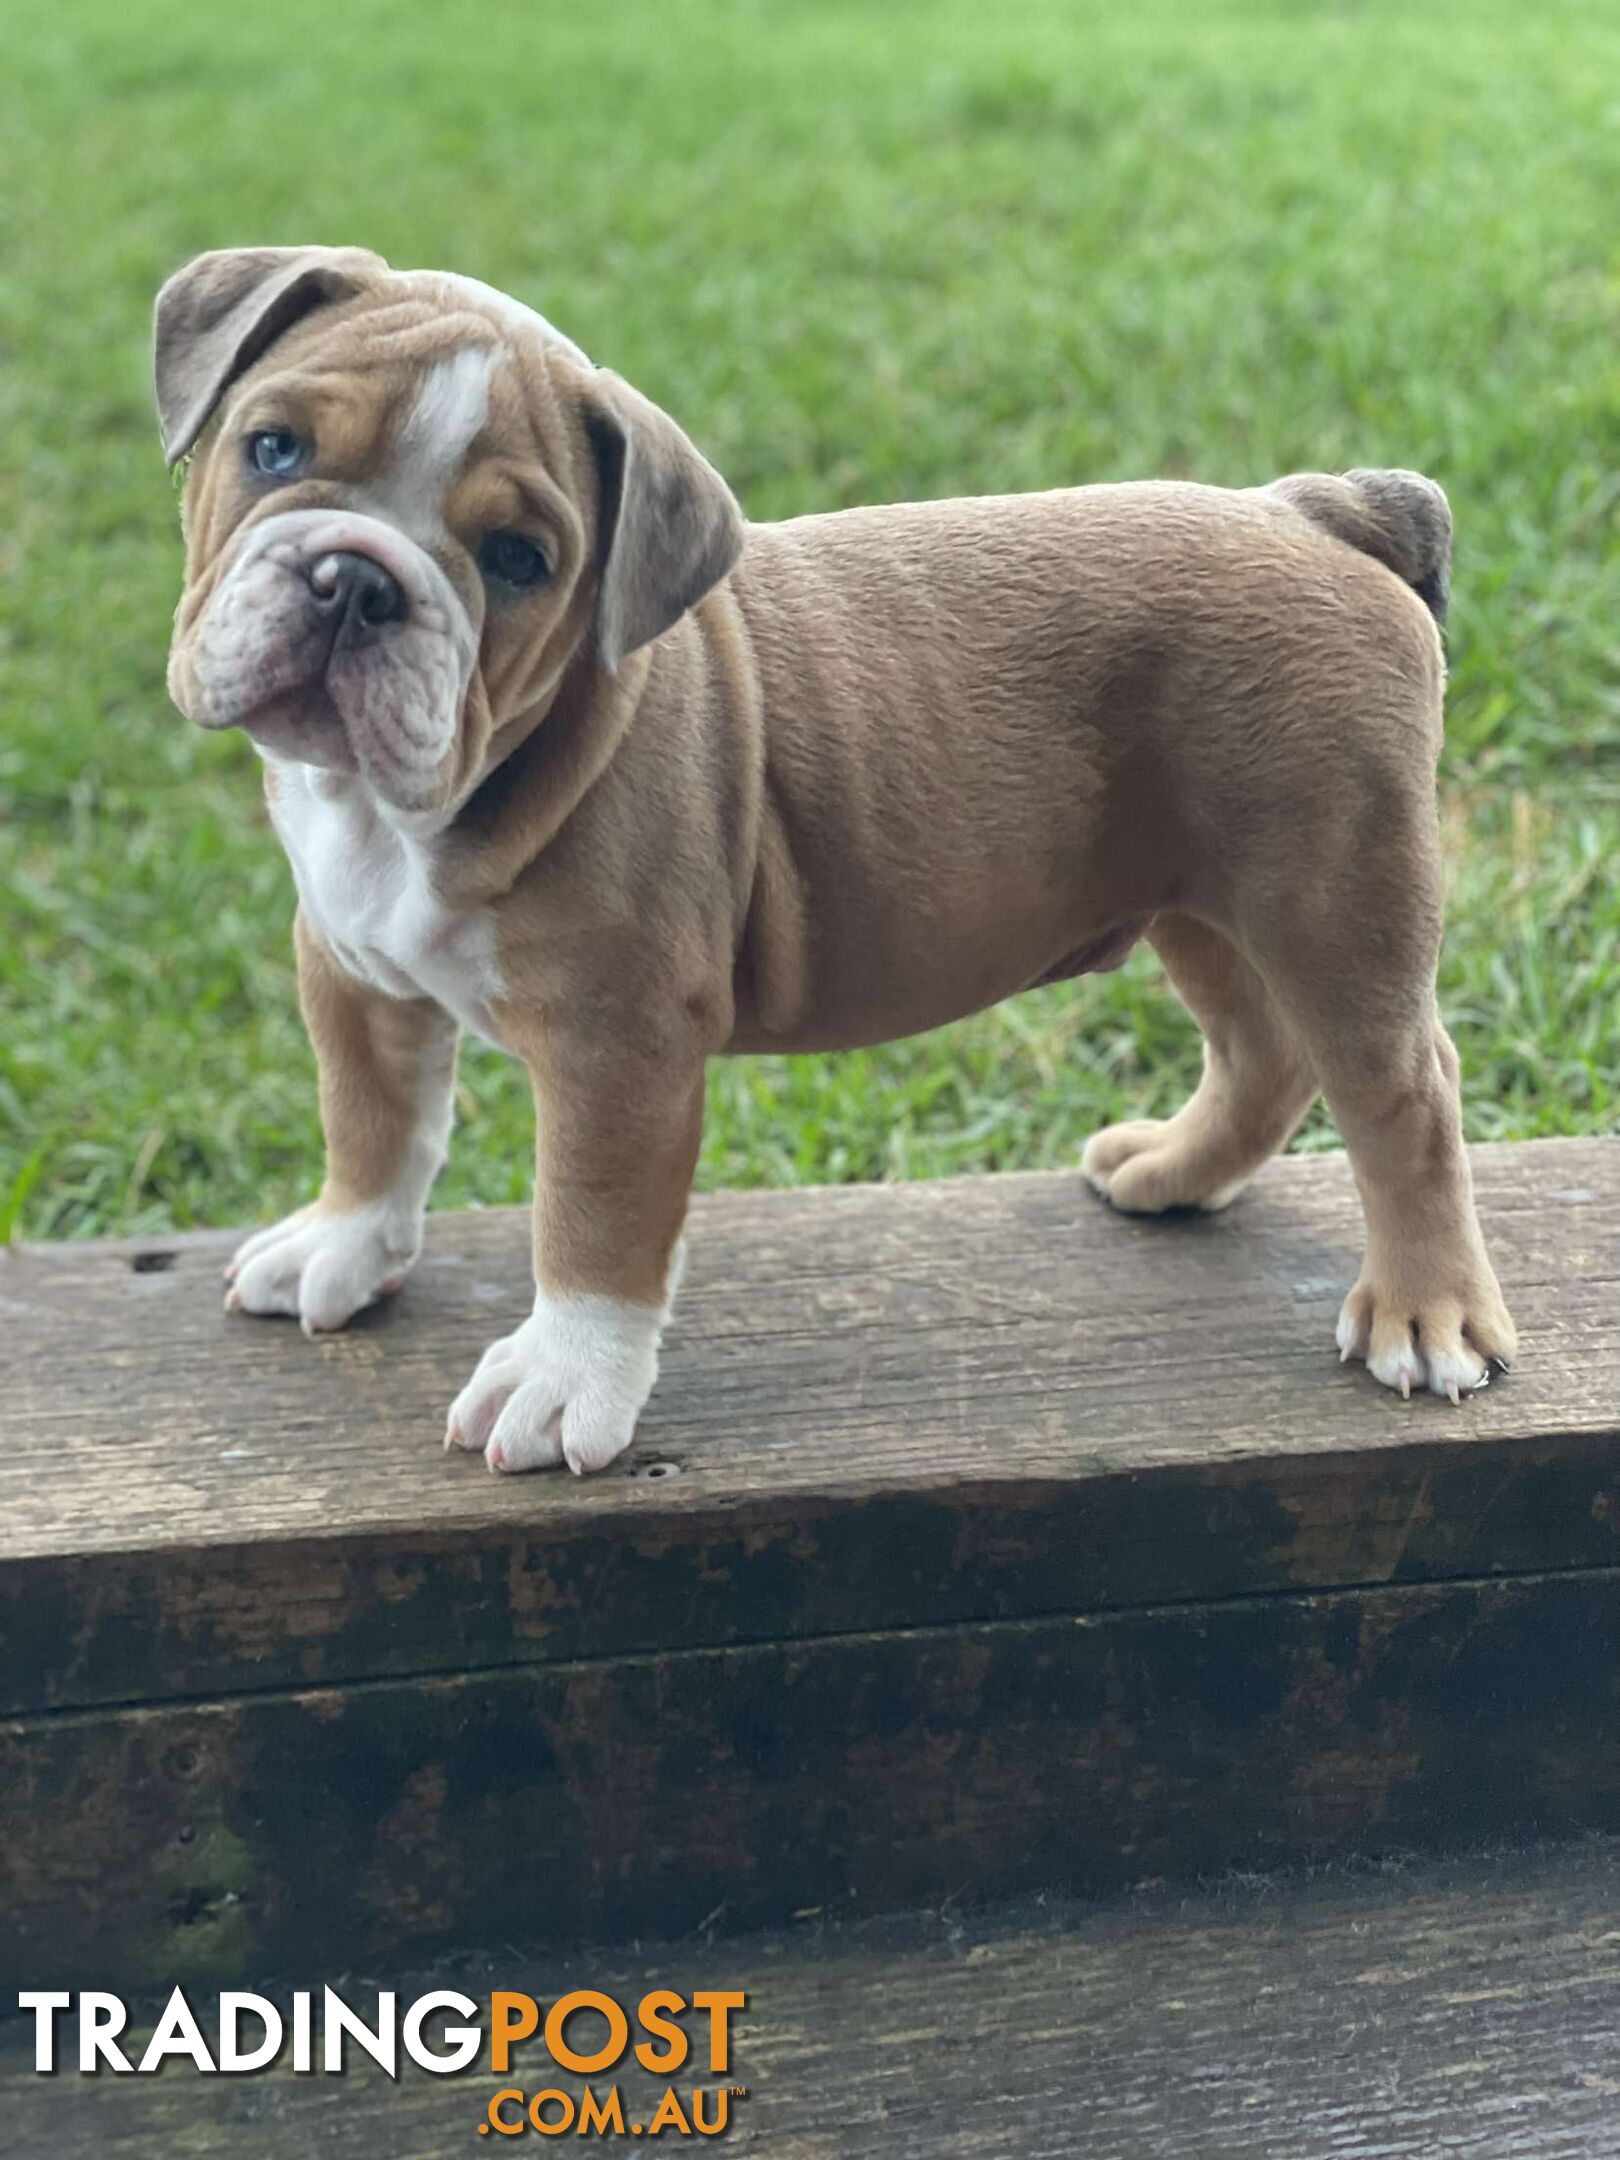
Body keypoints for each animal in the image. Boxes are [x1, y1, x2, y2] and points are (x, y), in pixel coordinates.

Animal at [155, 248, 1520, 1468]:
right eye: (273, 450)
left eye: (519, 562)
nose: (354, 580)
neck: (397, 810)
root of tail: (1319, 509)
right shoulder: (351, 970)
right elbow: (371, 1121)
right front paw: (339, 1246)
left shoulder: (617, 1045)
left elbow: (590, 1221)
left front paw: (561, 1381)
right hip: (1202, 898)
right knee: (1263, 1052)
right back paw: (1174, 1173)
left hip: (1332, 893)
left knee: (1403, 1092)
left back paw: (1427, 1314)